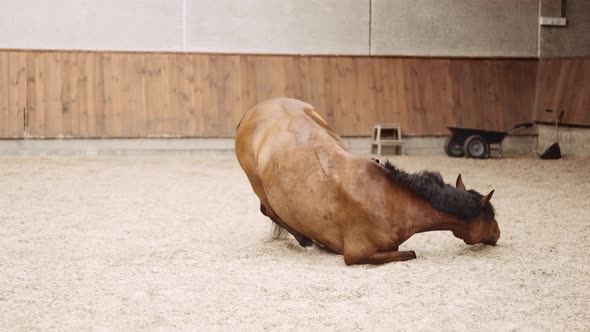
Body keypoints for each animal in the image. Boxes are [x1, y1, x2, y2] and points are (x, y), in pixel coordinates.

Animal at [234, 98, 502, 264]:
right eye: (490, 217)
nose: (498, 234)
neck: (389, 201)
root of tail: (251, 113)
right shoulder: (356, 254)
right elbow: (410, 253)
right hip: (257, 183)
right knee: (269, 210)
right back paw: (304, 239)